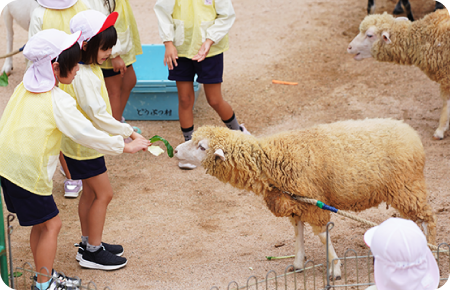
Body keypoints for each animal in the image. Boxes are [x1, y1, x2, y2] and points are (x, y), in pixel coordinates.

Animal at [175, 118, 436, 280]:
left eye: (201, 146)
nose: (176, 151)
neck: (271, 161)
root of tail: (412, 135)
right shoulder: (296, 204)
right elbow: (298, 233)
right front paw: (298, 264)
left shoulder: (314, 202)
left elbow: (322, 236)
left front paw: (335, 268)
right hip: (404, 190)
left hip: (407, 186)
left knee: (427, 220)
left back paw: (429, 252)